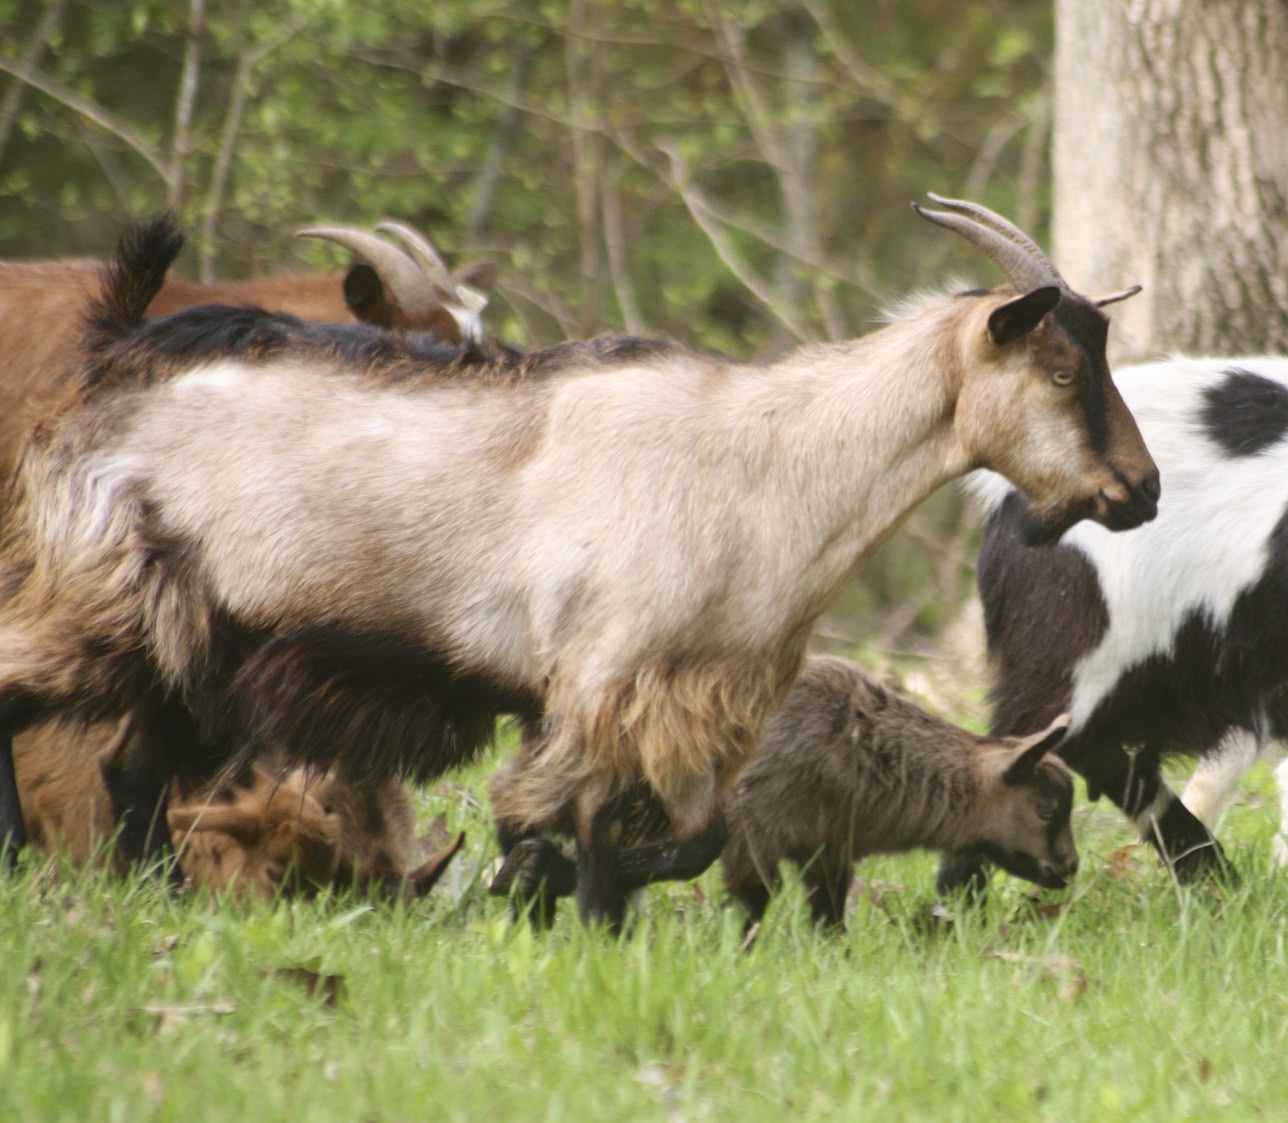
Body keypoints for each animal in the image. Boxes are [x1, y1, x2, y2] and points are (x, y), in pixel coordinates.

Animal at [0, 197, 1159, 927]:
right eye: (1063, 368)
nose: (1140, 491)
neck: (767, 459)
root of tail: (113, 350)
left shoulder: (695, 708)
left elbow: (675, 839)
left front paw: (571, 905)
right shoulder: (599, 684)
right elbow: (566, 820)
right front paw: (538, 897)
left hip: (192, 647)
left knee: (134, 768)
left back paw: (162, 896)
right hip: (99, 596)